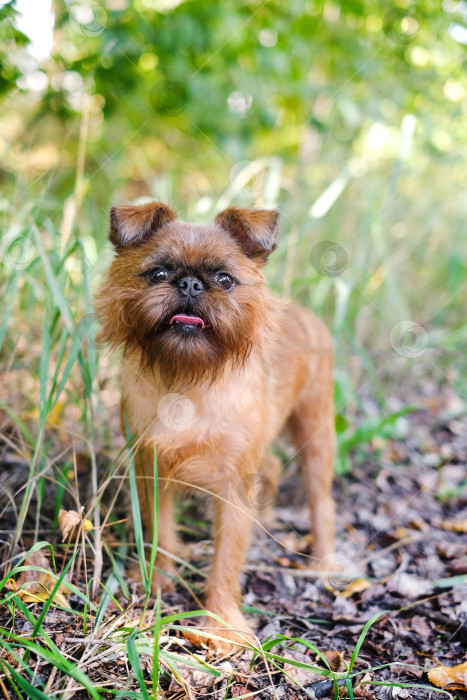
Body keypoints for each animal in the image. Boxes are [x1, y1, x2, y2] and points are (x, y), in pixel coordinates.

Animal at [96, 202, 336, 652]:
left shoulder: (234, 485)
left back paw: (325, 562)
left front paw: (221, 624)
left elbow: (226, 558)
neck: (188, 379)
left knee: (321, 502)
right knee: (272, 467)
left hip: (316, 433)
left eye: (224, 280)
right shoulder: (150, 468)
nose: (190, 284)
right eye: (158, 273)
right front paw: (157, 580)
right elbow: (159, 531)